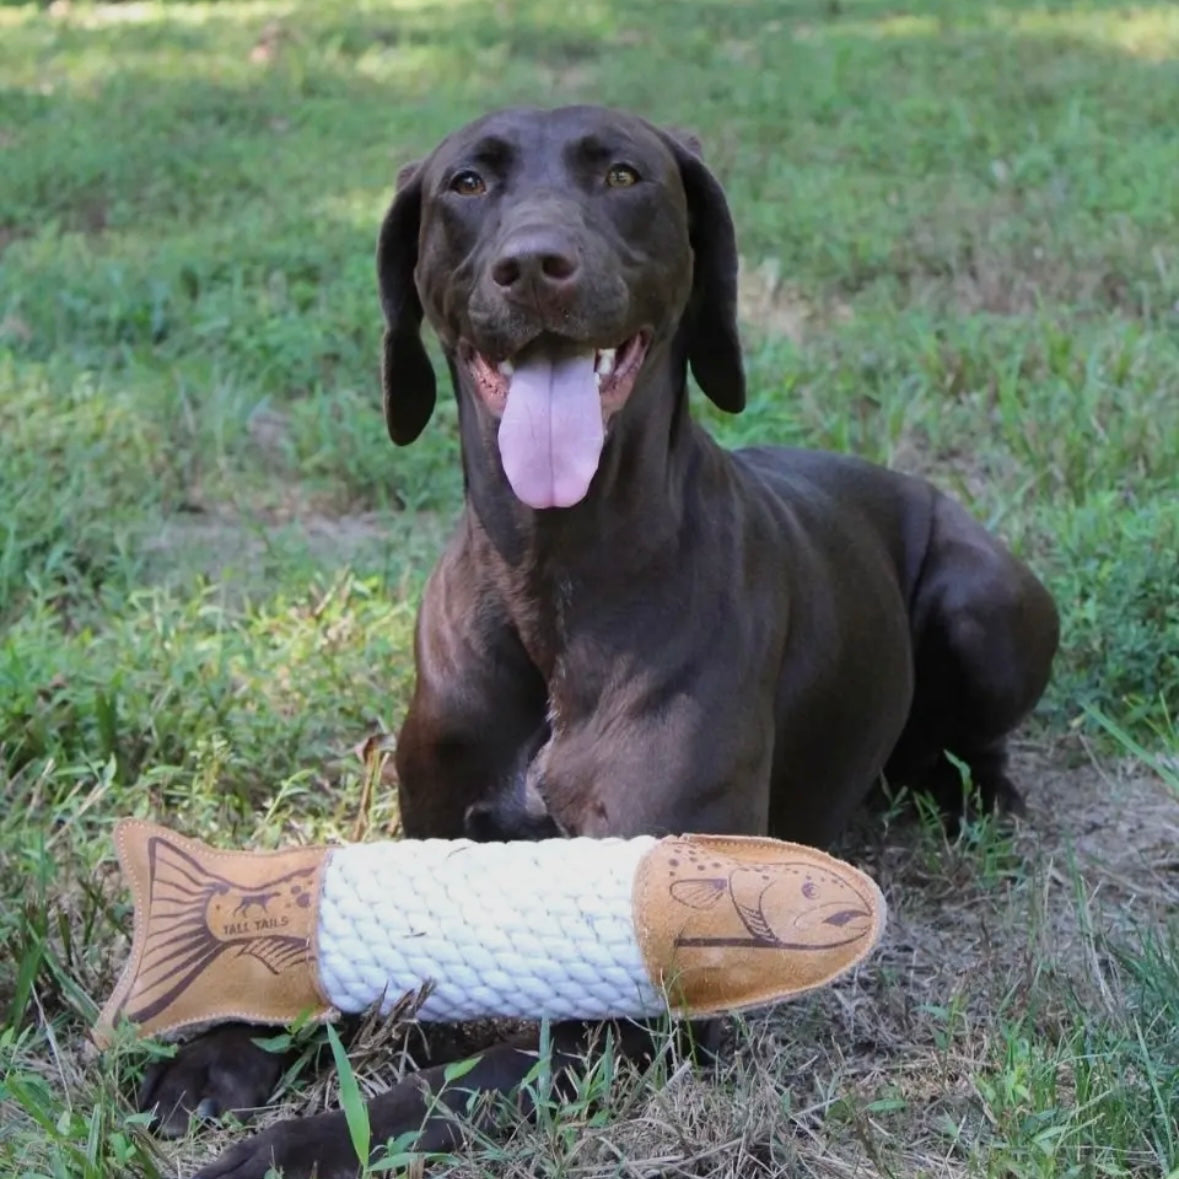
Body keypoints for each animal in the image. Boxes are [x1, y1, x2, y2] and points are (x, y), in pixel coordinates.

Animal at [137, 106, 1061, 1174]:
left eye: (622, 174)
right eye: (466, 184)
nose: (535, 266)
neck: (555, 574)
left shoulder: (645, 996)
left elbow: (456, 1080)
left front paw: (293, 1141)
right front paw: (219, 1052)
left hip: (976, 604)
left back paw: (971, 792)